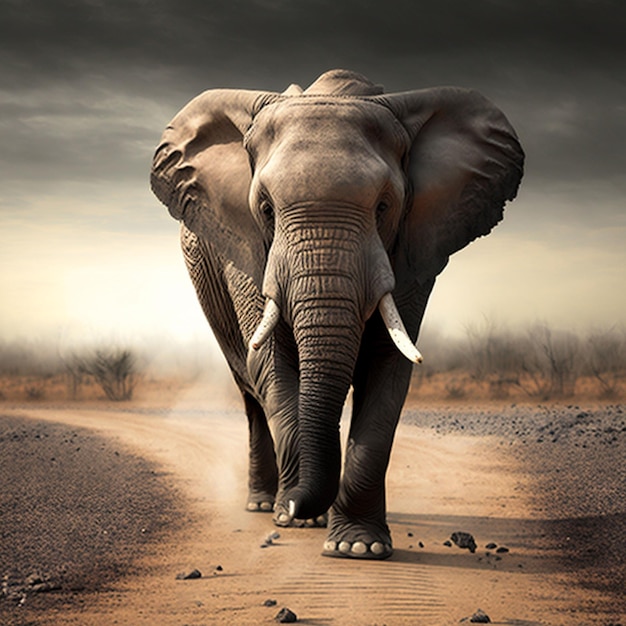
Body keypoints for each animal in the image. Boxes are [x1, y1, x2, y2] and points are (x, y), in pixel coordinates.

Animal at [150, 70, 520, 560]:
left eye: (384, 206)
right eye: (265, 209)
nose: (295, 507)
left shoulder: (414, 245)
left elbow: (388, 366)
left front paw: (357, 547)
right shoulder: (246, 246)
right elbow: (270, 364)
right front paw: (297, 518)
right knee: (249, 389)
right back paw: (263, 503)